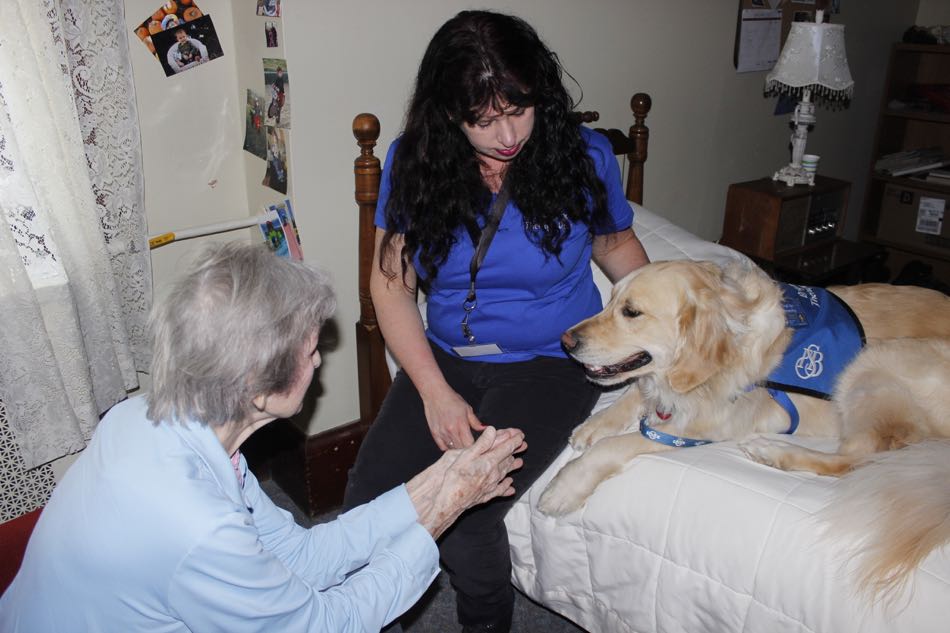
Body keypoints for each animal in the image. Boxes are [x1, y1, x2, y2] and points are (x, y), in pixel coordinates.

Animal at [540, 260, 950, 600]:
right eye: (610, 301)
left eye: (631, 312)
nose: (566, 341)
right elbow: (635, 393)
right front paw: (595, 424)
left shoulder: (712, 424)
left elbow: (619, 444)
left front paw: (567, 485)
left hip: (875, 363)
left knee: (861, 459)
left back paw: (776, 452)